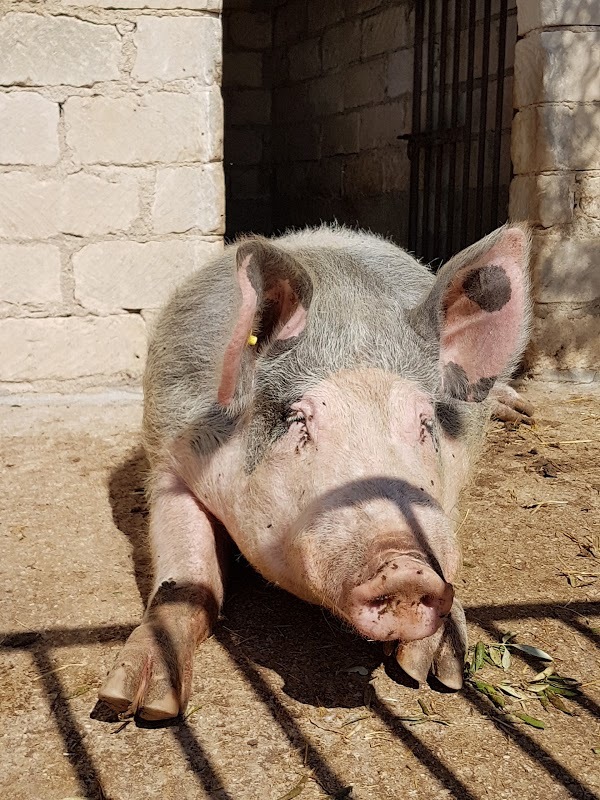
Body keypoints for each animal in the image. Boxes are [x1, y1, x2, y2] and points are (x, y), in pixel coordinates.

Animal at [99, 223, 536, 720]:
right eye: (300, 420)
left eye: (424, 423)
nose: (406, 566)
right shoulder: (171, 457)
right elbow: (187, 582)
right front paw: (134, 704)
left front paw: (437, 672)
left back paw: (522, 412)